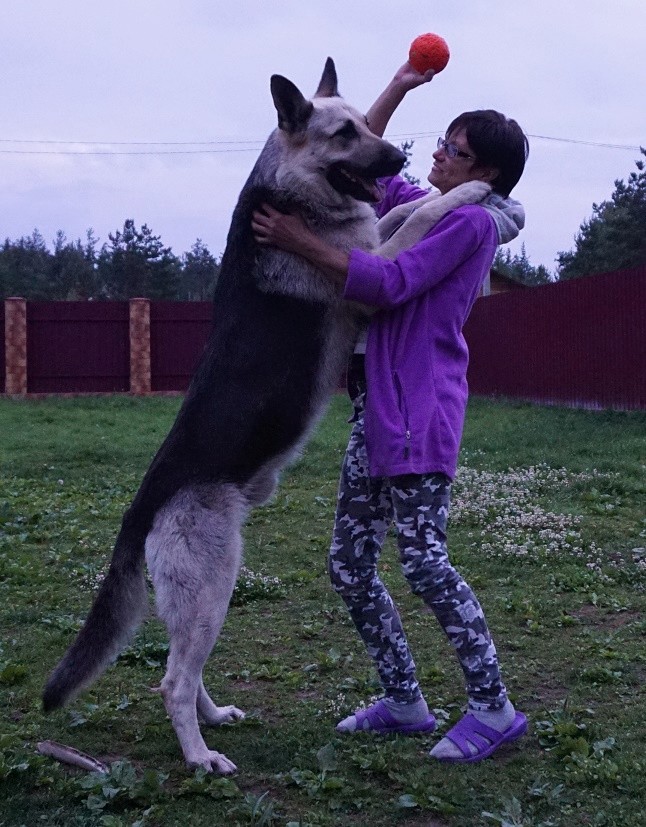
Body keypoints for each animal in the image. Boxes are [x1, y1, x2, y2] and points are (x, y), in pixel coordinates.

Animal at [41, 59, 404, 776]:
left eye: (369, 123)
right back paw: (200, 755)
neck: (286, 192)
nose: (401, 155)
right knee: (173, 681)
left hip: (202, 598)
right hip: (214, 586)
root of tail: (143, 504)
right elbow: (421, 216)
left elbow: (409, 210)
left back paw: (212, 720)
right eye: (345, 134)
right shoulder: (368, 272)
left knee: (180, 670)